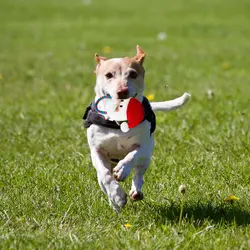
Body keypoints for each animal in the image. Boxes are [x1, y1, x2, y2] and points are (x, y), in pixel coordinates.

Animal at [83, 45, 190, 211]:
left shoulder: (144, 146)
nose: (122, 91)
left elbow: (132, 156)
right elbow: (105, 175)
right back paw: (115, 205)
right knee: (104, 181)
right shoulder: (97, 150)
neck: (118, 120)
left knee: (139, 173)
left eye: (133, 74)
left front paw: (122, 170)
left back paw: (136, 191)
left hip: (146, 158)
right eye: (108, 75)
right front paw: (117, 196)